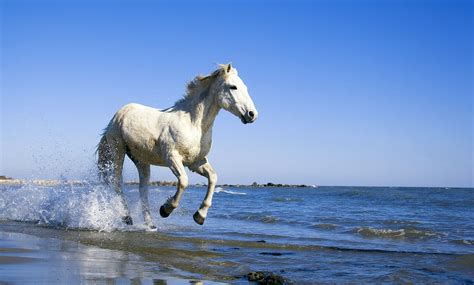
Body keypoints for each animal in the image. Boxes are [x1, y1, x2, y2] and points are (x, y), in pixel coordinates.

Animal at [97, 63, 260, 229]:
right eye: (233, 87)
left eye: (245, 87)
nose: (252, 114)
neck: (193, 123)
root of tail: (117, 115)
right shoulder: (172, 157)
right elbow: (183, 181)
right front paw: (165, 209)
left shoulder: (196, 162)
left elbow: (213, 178)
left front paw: (200, 216)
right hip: (117, 151)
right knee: (117, 182)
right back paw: (127, 217)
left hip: (141, 160)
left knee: (143, 190)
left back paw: (150, 224)